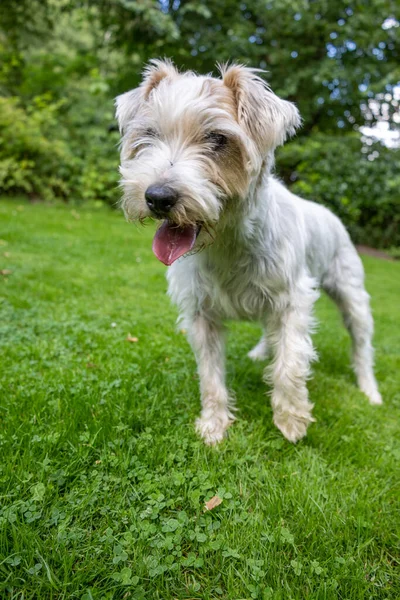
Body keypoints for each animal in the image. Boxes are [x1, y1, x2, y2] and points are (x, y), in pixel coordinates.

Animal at [115, 59, 382, 446]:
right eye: (148, 133)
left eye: (218, 139)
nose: (158, 197)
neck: (227, 242)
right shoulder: (201, 315)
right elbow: (210, 375)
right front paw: (214, 425)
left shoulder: (293, 302)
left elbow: (289, 364)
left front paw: (291, 420)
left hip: (353, 300)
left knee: (361, 348)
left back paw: (370, 391)